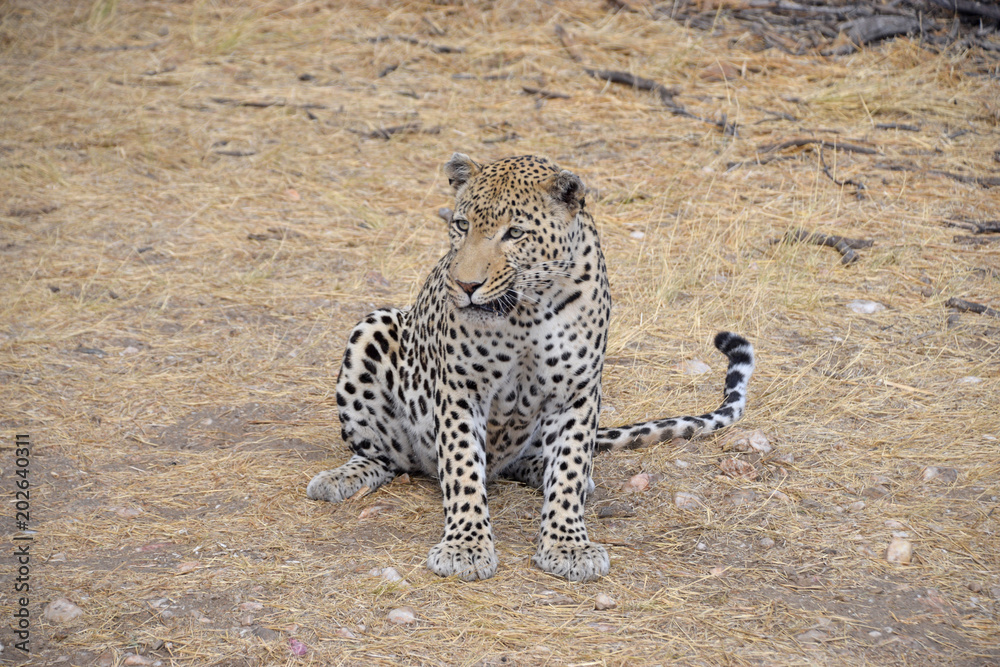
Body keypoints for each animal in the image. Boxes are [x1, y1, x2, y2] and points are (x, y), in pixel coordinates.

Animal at [307, 153, 755, 582]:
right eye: (462, 225)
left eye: (515, 234)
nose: (466, 286)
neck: (527, 311)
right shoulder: (460, 390)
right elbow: (463, 467)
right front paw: (466, 546)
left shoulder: (577, 392)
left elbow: (570, 466)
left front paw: (568, 545)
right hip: (374, 328)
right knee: (384, 456)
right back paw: (339, 478)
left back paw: (553, 472)